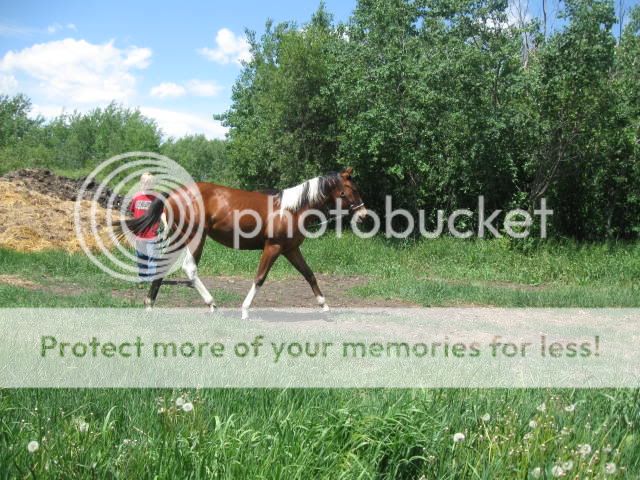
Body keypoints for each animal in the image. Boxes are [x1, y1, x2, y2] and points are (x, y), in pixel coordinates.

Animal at [123, 166, 368, 318]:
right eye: (351, 190)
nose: (363, 215)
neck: (292, 209)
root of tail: (173, 193)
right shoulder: (273, 247)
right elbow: (260, 278)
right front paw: (245, 310)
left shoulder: (291, 249)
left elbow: (309, 274)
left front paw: (324, 305)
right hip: (194, 237)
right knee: (190, 269)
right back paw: (211, 304)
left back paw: (149, 304)